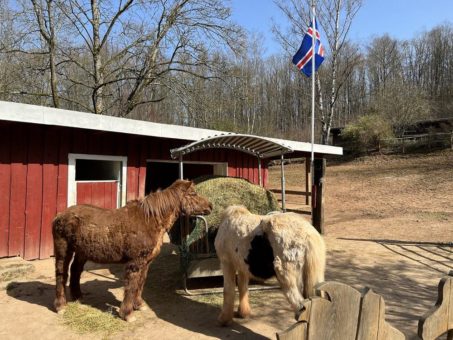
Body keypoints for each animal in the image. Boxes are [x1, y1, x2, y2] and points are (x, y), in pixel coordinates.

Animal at [51, 181, 212, 322]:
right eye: (193, 193)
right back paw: (60, 306)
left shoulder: (146, 263)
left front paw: (139, 305)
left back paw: (78, 297)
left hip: (81, 252)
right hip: (64, 251)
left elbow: (140, 284)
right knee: (61, 274)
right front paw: (127, 314)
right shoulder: (134, 263)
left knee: (75, 271)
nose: (210, 206)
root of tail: (59, 215)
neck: (149, 220)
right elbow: (131, 286)